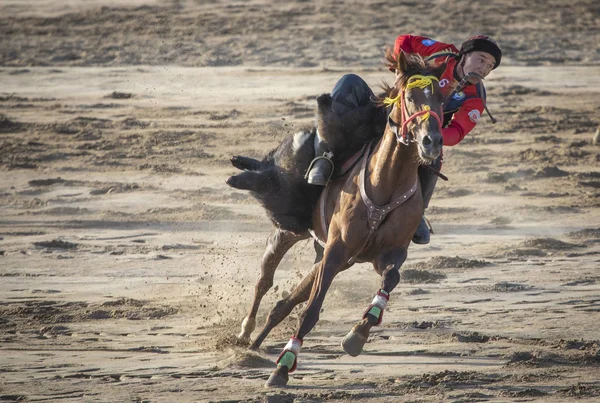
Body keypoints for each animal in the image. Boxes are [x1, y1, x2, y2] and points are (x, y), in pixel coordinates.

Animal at [230, 51, 446, 388]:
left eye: (441, 99)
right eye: (410, 97)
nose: (431, 142)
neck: (385, 185)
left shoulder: (385, 254)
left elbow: (390, 280)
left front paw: (358, 334)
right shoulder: (336, 251)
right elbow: (310, 311)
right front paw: (283, 367)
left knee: (282, 303)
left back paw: (256, 342)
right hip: (288, 230)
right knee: (264, 278)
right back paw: (245, 332)